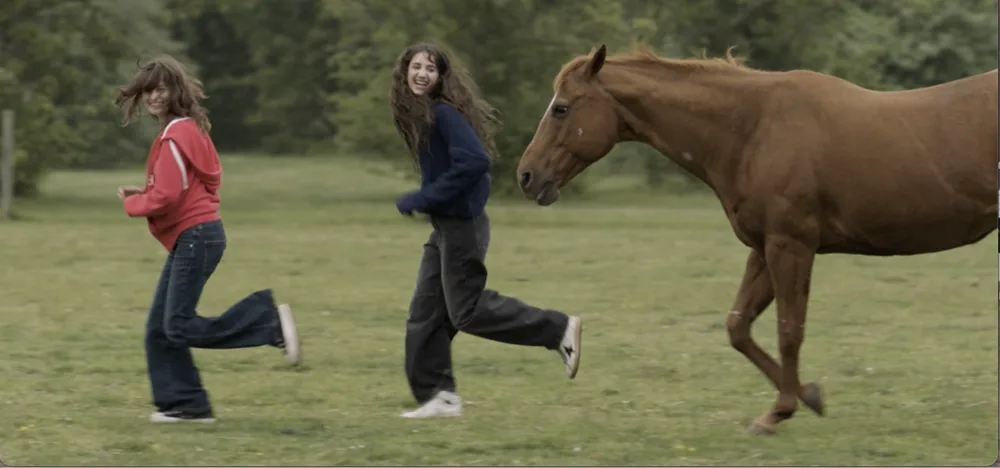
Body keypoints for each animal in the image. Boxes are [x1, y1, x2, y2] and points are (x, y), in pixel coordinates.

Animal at [515, 43, 998, 435]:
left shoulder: (791, 246)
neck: (751, 127)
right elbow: (738, 326)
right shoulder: (763, 249)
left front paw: (778, 412)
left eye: (561, 108)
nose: (526, 175)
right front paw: (807, 396)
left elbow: (789, 330)